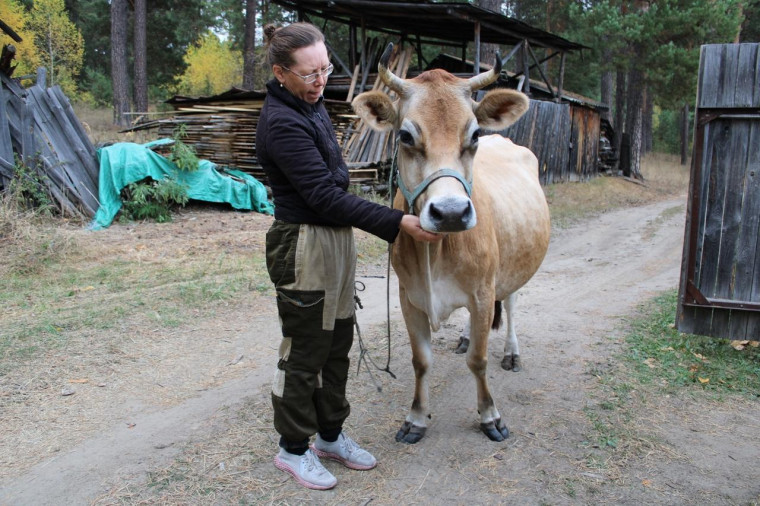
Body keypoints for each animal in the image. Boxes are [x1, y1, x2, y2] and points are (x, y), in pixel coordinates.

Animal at [350, 44, 552, 442]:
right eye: (405, 136)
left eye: (474, 135)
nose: (451, 212)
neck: (438, 250)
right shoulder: (408, 298)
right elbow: (421, 361)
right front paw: (415, 418)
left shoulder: (483, 292)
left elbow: (479, 360)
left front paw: (490, 416)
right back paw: (465, 337)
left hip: (511, 269)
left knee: (512, 303)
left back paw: (512, 352)